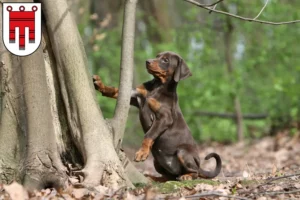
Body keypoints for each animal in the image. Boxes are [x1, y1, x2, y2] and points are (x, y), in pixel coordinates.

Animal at [92, 50, 221, 180]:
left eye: (165, 60)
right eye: (157, 56)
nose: (147, 61)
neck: (157, 86)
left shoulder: (164, 118)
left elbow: (149, 134)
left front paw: (142, 152)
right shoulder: (135, 96)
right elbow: (114, 90)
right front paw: (99, 84)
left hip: (183, 153)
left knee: (195, 172)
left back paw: (187, 176)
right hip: (157, 162)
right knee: (169, 176)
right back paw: (153, 177)